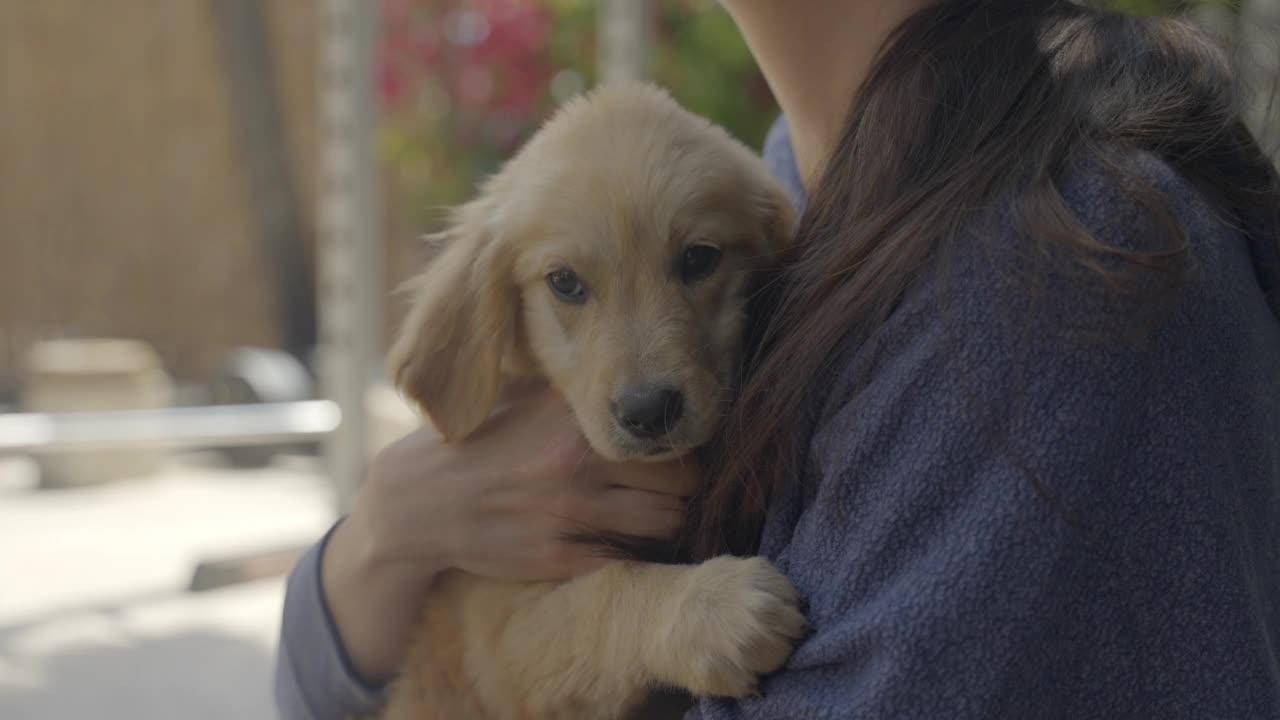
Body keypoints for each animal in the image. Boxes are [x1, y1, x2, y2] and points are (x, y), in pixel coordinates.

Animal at [378, 81, 803, 712]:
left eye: (700, 257)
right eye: (565, 282)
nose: (648, 413)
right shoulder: (503, 634)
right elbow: (608, 595)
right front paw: (714, 608)